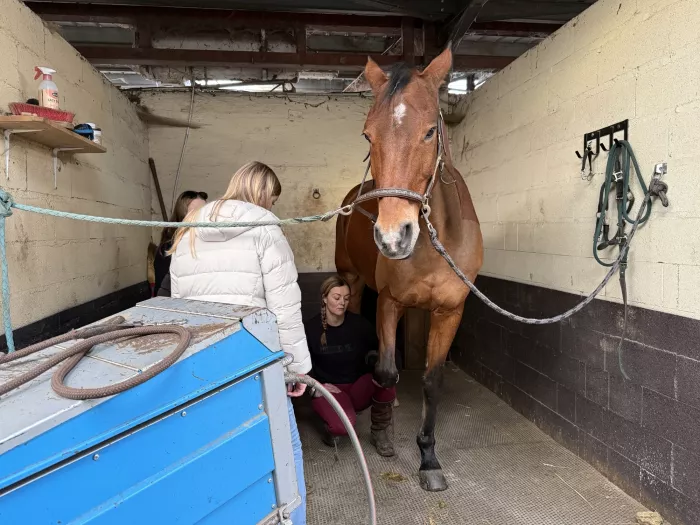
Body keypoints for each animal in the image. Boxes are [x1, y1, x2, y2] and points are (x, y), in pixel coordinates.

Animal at [334, 46, 484, 492]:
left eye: (430, 132)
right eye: (369, 136)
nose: (392, 237)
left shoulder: (449, 312)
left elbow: (432, 381)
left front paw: (429, 459)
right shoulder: (389, 302)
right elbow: (385, 371)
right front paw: (382, 427)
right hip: (354, 281)